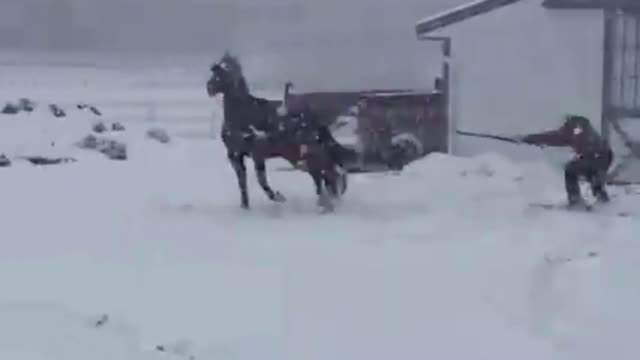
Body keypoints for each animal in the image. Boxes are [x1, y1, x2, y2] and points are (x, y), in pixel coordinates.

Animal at [206, 50, 348, 211]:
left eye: (226, 69)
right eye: (216, 69)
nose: (209, 87)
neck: (243, 115)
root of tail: (314, 119)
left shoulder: (257, 154)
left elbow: (261, 181)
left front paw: (278, 197)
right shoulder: (234, 155)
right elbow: (242, 182)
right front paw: (245, 206)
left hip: (308, 156)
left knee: (328, 174)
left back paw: (327, 203)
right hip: (298, 157)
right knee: (326, 175)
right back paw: (328, 202)